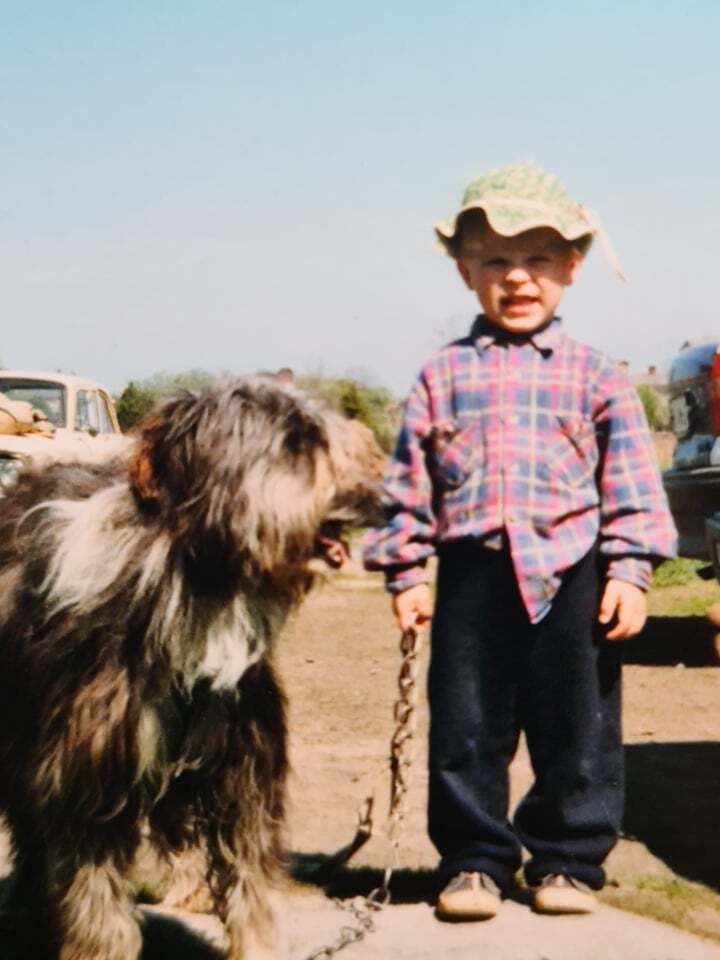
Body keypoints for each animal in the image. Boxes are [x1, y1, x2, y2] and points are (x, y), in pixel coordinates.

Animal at [0, 378, 386, 956]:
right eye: (296, 442)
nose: (380, 499)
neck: (195, 589)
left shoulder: (241, 760)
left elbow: (251, 883)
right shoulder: (84, 773)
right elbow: (95, 900)